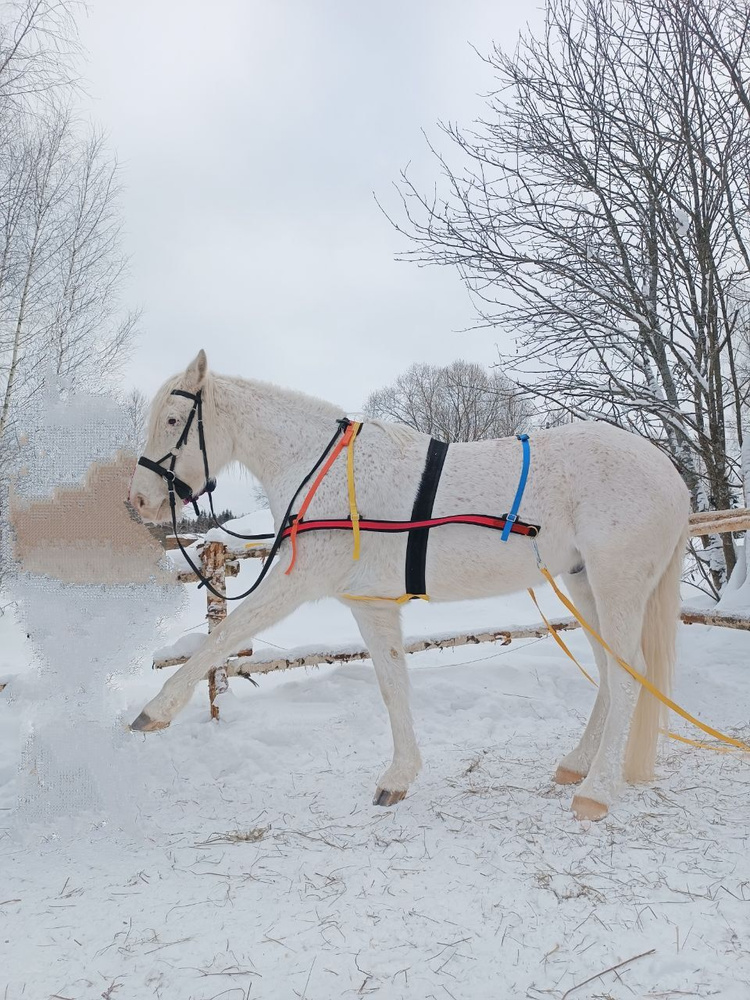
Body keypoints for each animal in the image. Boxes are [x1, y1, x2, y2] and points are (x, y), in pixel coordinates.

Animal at [131, 352, 692, 820]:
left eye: (174, 420)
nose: (138, 501)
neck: (322, 472)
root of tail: (669, 472)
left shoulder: (300, 583)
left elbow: (222, 639)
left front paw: (154, 711)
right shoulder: (371, 603)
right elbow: (392, 685)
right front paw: (399, 779)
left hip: (617, 584)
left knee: (628, 675)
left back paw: (595, 791)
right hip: (584, 584)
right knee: (610, 671)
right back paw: (576, 764)